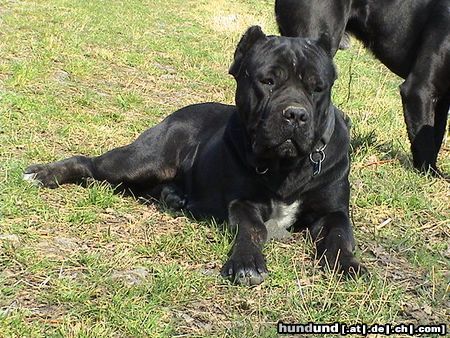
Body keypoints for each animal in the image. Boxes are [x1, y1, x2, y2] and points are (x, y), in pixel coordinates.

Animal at [22, 25, 366, 286]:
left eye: (317, 87)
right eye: (267, 81)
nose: (295, 114)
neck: (286, 166)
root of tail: (177, 113)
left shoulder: (333, 211)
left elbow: (340, 235)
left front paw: (349, 265)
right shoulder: (243, 203)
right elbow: (252, 229)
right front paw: (246, 262)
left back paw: (174, 196)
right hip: (142, 159)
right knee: (89, 164)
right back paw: (43, 173)